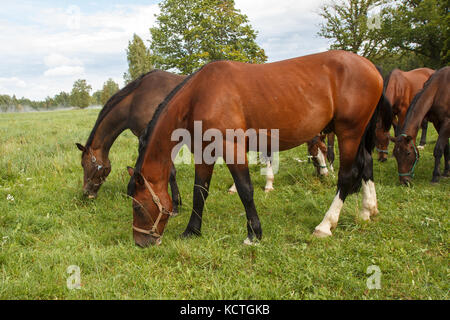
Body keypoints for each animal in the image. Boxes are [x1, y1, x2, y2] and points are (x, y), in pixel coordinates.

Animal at [125, 50, 390, 248]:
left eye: (137, 205)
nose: (140, 242)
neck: (201, 94)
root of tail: (371, 67)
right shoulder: (204, 151)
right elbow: (200, 190)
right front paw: (192, 231)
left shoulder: (231, 146)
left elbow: (245, 189)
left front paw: (254, 234)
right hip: (357, 134)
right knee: (366, 165)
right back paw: (367, 211)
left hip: (349, 132)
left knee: (347, 176)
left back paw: (325, 225)